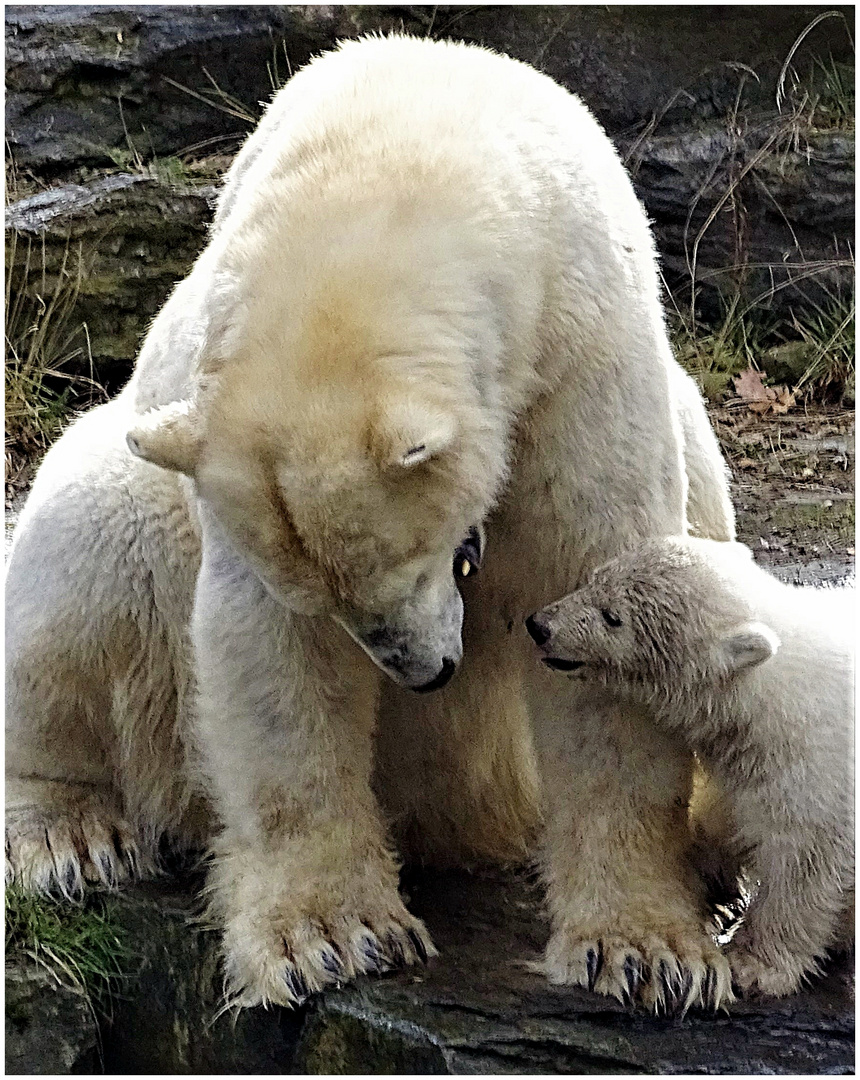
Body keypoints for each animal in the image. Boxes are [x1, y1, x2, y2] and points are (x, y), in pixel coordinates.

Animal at [5, 35, 730, 1010]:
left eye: (420, 559)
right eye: (336, 598)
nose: (425, 674)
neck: (404, 139)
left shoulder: (583, 351)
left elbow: (598, 591)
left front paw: (648, 952)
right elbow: (270, 660)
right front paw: (332, 937)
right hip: (132, 494)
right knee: (90, 541)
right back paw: (67, 833)